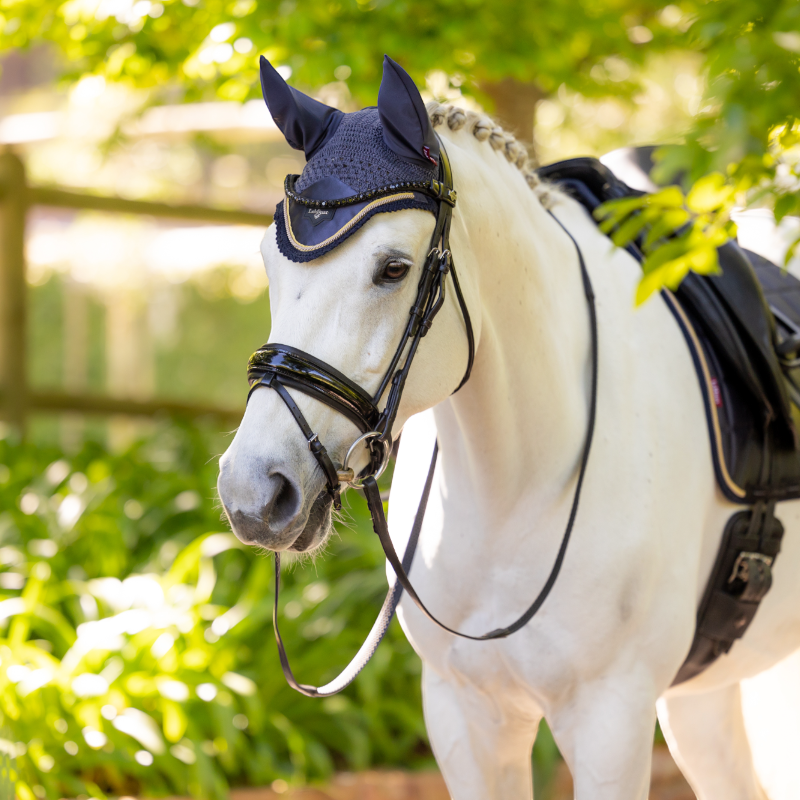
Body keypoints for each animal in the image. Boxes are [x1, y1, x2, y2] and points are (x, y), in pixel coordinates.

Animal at [217, 60, 800, 799]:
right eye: (269, 260)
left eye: (393, 269)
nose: (255, 494)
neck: (517, 483)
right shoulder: (466, 716)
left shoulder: (611, 723)